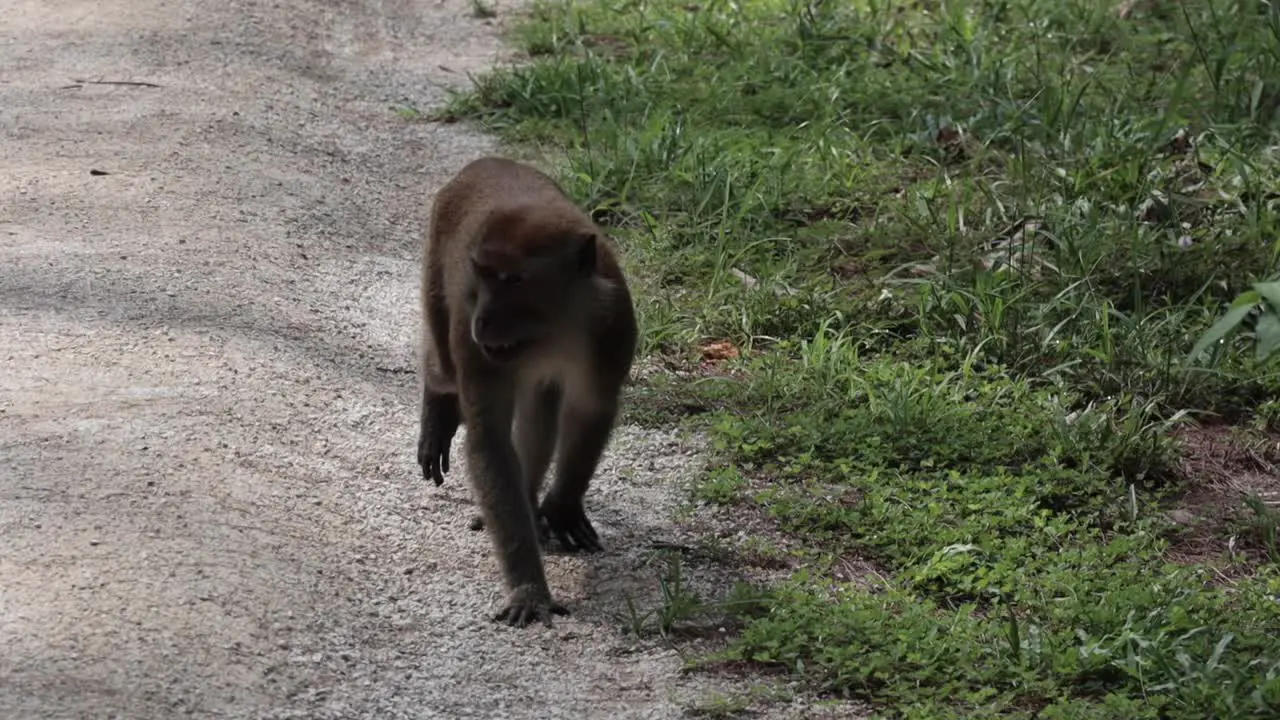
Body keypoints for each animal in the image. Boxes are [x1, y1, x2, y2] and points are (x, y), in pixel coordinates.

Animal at [417, 155, 637, 622]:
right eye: (483, 276)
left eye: (513, 279)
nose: (483, 319)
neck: (556, 328)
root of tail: (485, 161)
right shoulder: (473, 340)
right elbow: (490, 441)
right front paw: (528, 588)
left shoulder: (611, 326)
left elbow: (592, 409)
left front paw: (562, 505)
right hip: (438, 273)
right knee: (443, 365)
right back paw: (438, 406)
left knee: (541, 408)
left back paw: (531, 497)